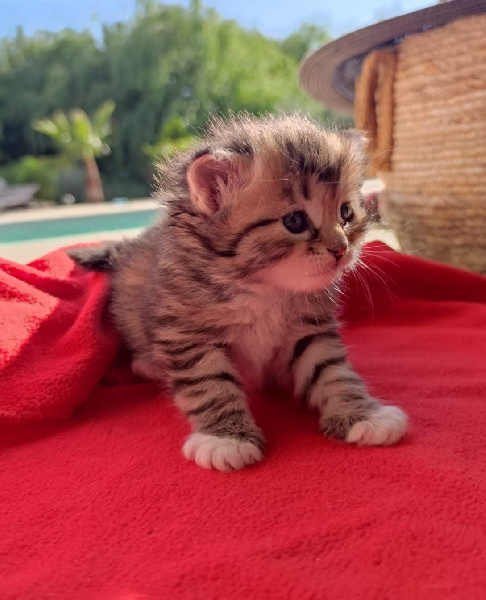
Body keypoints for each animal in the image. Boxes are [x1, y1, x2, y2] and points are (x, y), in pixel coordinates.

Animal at [68, 111, 408, 468]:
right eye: (295, 222)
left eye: (346, 213)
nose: (341, 249)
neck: (264, 288)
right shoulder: (188, 335)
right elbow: (210, 384)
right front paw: (227, 438)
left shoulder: (309, 331)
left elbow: (332, 372)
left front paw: (363, 415)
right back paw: (149, 362)